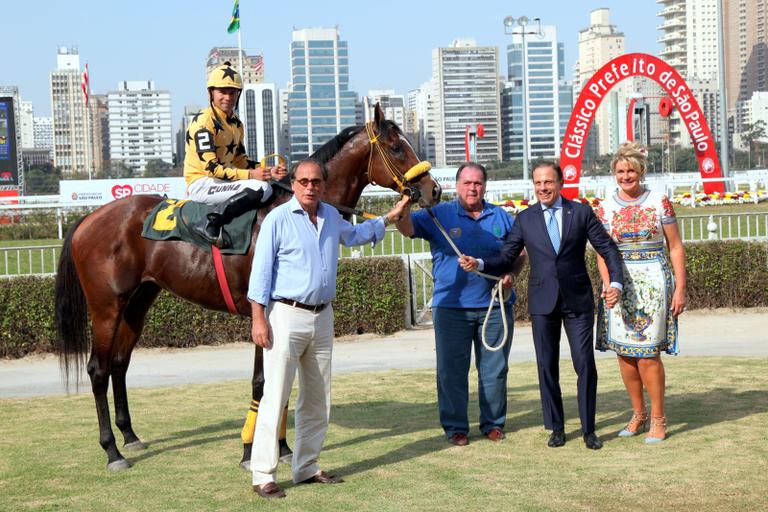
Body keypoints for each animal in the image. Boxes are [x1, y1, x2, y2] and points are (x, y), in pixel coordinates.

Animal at [55, 105, 444, 472]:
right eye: (396, 147)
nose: (433, 190)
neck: (292, 209)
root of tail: (90, 218)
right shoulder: (266, 316)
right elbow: (264, 382)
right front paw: (250, 451)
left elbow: (282, 381)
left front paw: (283, 448)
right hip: (106, 306)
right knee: (98, 369)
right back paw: (112, 451)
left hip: (138, 301)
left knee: (120, 364)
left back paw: (130, 436)